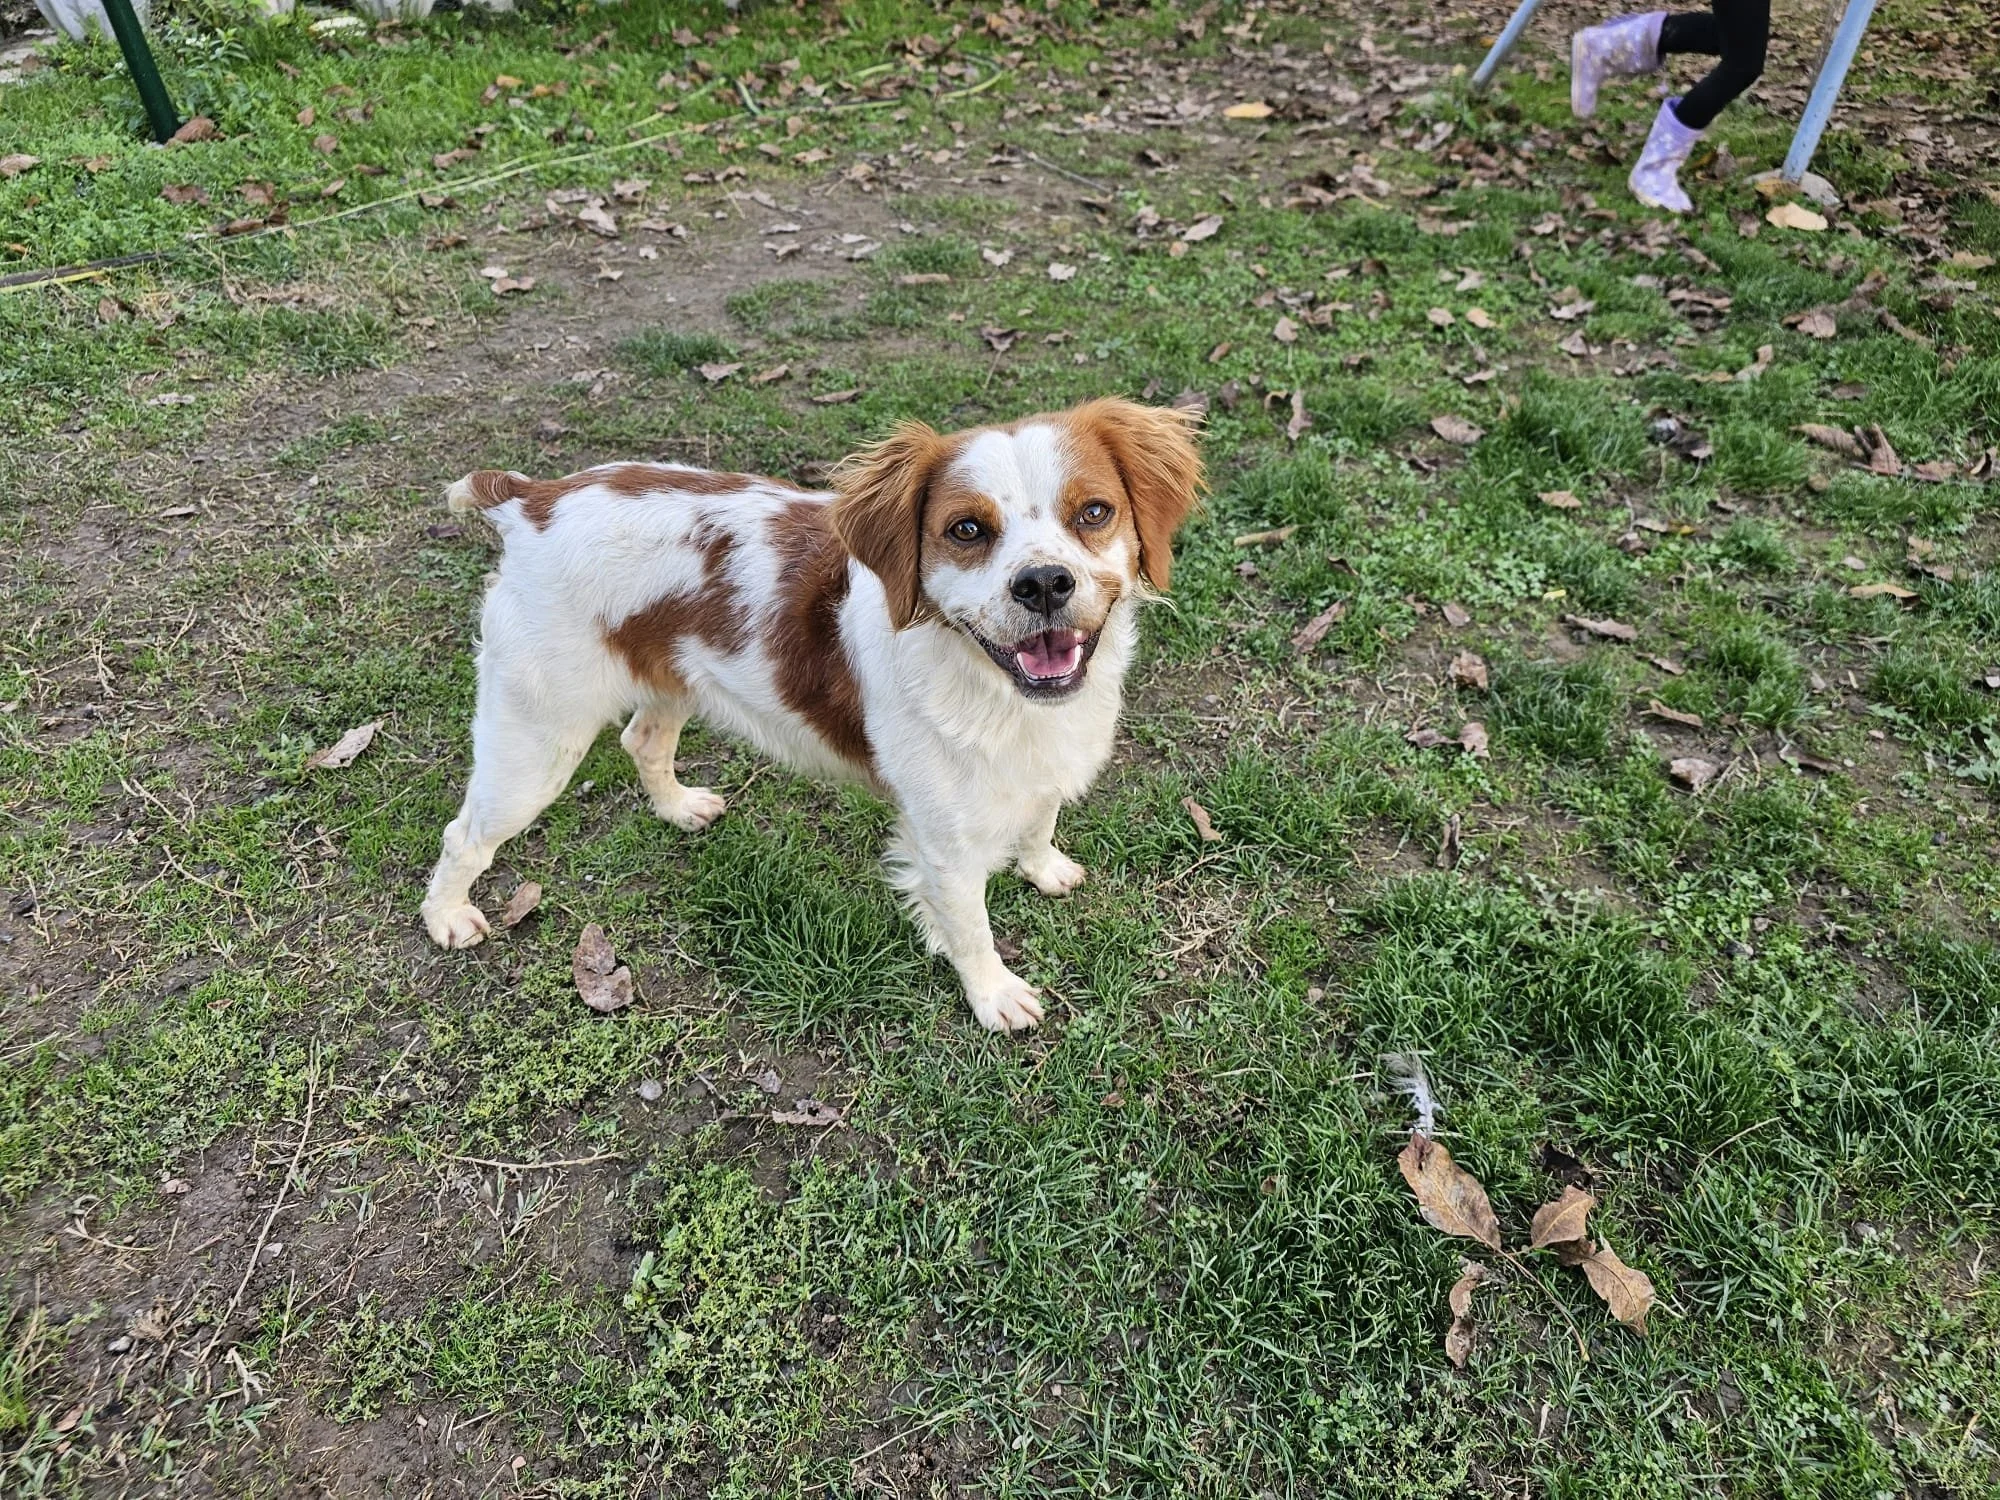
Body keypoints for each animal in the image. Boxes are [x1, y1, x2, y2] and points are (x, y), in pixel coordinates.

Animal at [420, 398, 1203, 1031]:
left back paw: (678, 808)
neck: (997, 689)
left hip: (670, 681)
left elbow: (1040, 819)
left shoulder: (1038, 769)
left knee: (642, 739)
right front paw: (994, 996)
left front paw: (1044, 869)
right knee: (465, 834)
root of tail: (530, 500)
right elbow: (971, 927)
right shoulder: (943, 843)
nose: (1043, 583)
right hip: (537, 741)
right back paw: (447, 918)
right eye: (967, 529)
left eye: (1094, 512)